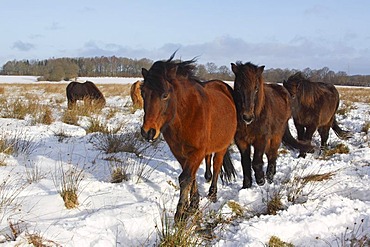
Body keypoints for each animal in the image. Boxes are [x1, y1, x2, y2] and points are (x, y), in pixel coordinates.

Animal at [139, 54, 237, 222]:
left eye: (165, 95)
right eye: (143, 93)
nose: (148, 132)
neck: (186, 116)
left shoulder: (196, 152)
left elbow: (185, 178)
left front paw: (180, 215)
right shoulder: (180, 152)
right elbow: (191, 177)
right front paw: (193, 205)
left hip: (222, 147)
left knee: (217, 166)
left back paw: (213, 194)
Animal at [231, 61, 312, 189]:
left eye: (256, 88)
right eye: (238, 87)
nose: (247, 117)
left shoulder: (261, 139)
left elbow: (256, 162)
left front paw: (261, 180)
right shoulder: (241, 141)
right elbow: (245, 163)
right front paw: (246, 186)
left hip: (276, 136)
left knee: (273, 154)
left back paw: (269, 177)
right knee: (270, 154)